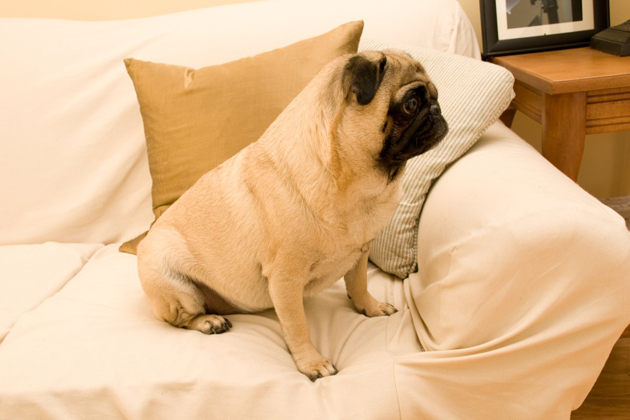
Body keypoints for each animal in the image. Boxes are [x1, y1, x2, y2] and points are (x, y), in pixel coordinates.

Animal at [137, 50, 448, 381]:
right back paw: (209, 321)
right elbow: (298, 326)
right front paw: (311, 363)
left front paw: (369, 307)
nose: (436, 109)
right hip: (172, 281)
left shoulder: (360, 252)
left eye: (435, 95)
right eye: (411, 104)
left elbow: (359, 284)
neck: (352, 184)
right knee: (182, 319)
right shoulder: (285, 280)